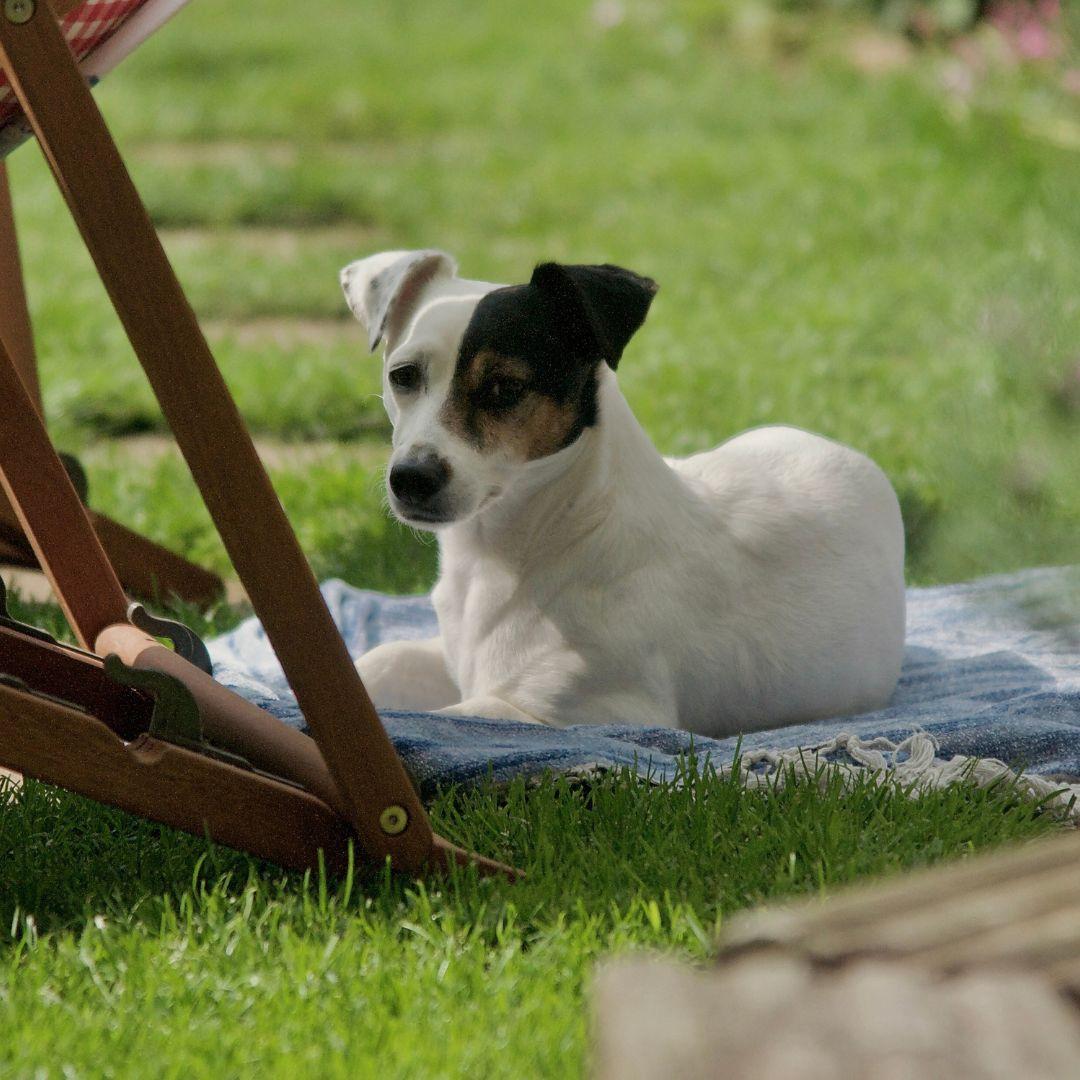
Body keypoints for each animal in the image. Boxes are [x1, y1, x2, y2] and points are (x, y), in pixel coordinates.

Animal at [339, 249, 902, 738]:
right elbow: (382, 661)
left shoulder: (588, 713)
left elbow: (437, 720)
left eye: (505, 388)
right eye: (403, 376)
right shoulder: (452, 657)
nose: (410, 477)